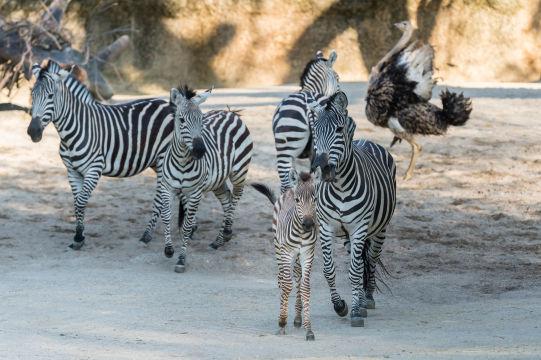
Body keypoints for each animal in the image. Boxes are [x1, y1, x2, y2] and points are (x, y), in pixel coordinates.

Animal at [27, 59, 180, 250]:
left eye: (50, 96)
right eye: (32, 95)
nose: (33, 132)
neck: (75, 129)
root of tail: (169, 104)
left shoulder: (94, 169)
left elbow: (81, 201)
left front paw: (78, 237)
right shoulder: (72, 171)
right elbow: (77, 203)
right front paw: (80, 236)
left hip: (163, 159)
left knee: (161, 197)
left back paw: (147, 235)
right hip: (156, 161)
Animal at [148, 84, 253, 272]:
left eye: (202, 120)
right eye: (181, 120)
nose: (199, 151)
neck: (182, 161)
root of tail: (230, 113)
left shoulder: (195, 193)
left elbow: (187, 225)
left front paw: (181, 260)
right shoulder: (168, 189)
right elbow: (166, 217)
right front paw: (168, 249)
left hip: (239, 171)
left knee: (236, 197)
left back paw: (225, 232)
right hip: (217, 180)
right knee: (227, 199)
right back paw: (221, 239)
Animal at [251, 170, 318, 342]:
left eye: (315, 199)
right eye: (297, 200)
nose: (308, 224)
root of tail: (289, 189)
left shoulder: (308, 253)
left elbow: (305, 287)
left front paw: (309, 329)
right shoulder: (287, 253)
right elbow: (287, 285)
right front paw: (282, 322)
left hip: (297, 257)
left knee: (297, 277)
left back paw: (297, 318)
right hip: (278, 248)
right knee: (282, 279)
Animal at [308, 91, 396, 328]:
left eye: (339, 130)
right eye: (314, 130)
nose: (322, 167)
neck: (340, 187)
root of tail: (365, 140)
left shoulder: (359, 227)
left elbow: (355, 271)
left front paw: (356, 310)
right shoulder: (326, 227)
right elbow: (329, 270)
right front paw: (340, 305)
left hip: (379, 230)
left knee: (370, 260)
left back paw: (367, 298)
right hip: (349, 236)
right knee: (361, 260)